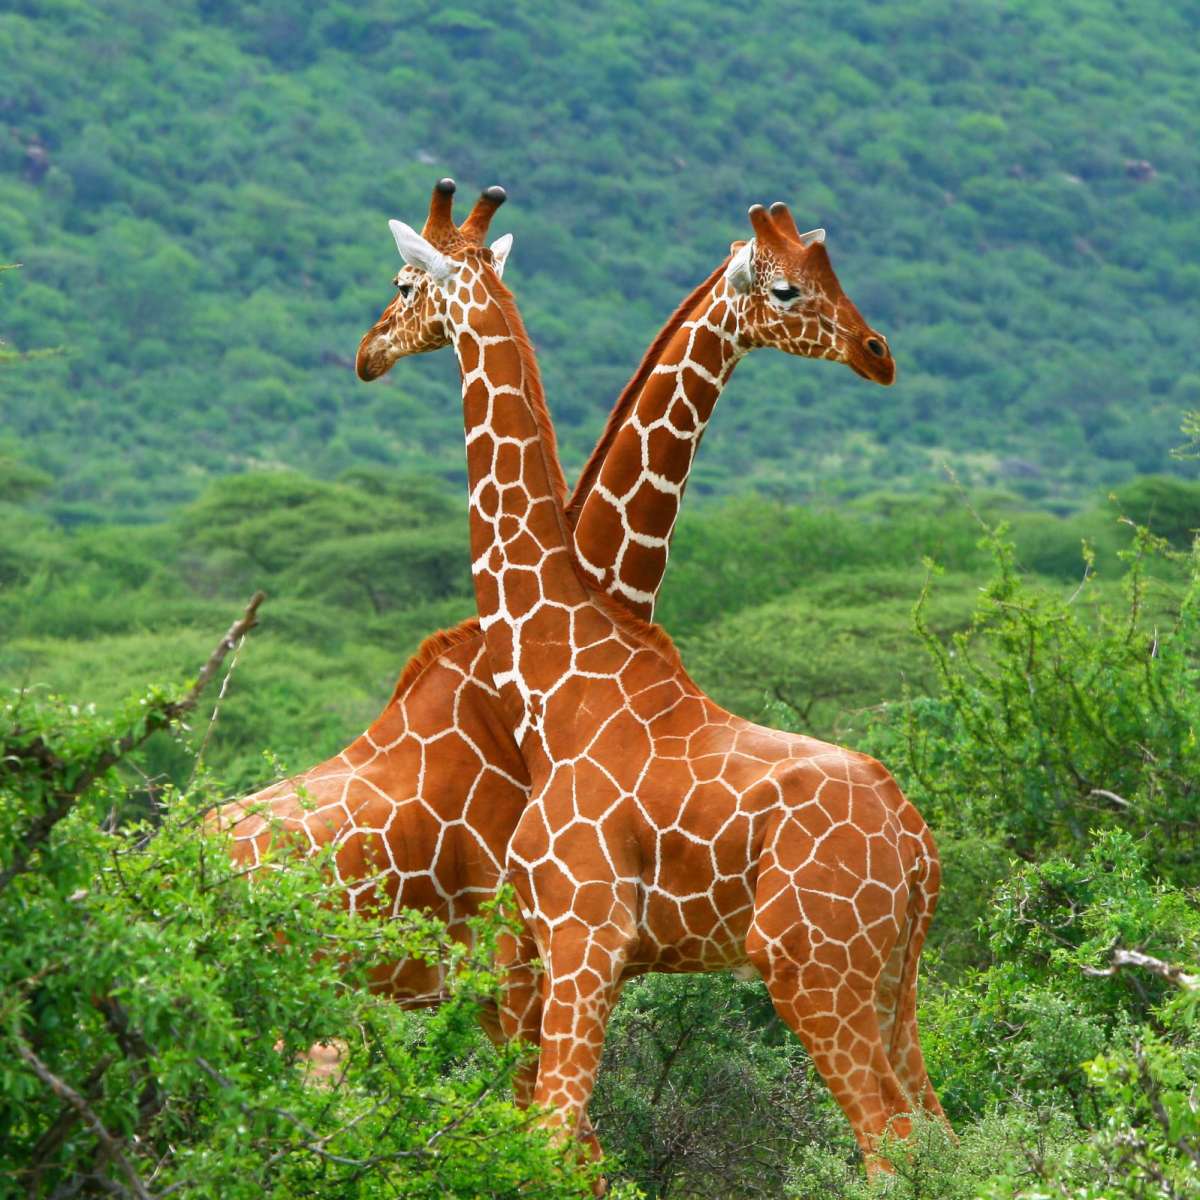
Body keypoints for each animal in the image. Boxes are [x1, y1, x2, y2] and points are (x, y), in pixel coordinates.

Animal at [367, 185, 945, 1167]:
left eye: (405, 282)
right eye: (791, 286)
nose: (367, 351)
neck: (555, 676)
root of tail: (916, 848)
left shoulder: (579, 935)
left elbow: (553, 1142)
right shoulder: (549, 952)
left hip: (812, 968)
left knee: (891, 1143)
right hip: (892, 983)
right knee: (944, 1134)